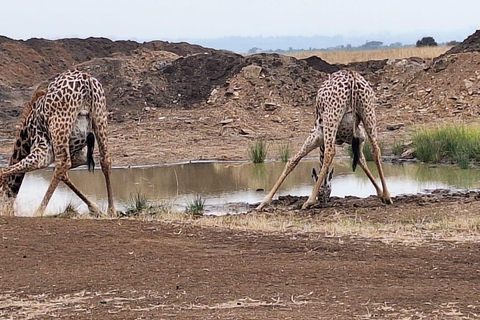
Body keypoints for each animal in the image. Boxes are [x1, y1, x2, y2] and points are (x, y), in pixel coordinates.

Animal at [0, 69, 115, 216]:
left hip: (59, 126)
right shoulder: (80, 155)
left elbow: (3, 171)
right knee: (105, 159)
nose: (7, 212)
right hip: (100, 115)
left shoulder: (43, 149)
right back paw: (112, 210)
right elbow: (64, 175)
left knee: (62, 163)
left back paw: (38, 212)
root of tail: (86, 80)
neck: (25, 137)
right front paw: (96, 209)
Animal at [256, 70, 392, 210]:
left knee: (330, 152)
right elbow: (361, 159)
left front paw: (264, 202)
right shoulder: (358, 137)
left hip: (331, 116)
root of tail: (351, 76)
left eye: (325, 191)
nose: (324, 202)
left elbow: (293, 160)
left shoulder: (318, 135)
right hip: (368, 111)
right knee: (376, 150)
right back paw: (388, 196)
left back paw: (309, 201)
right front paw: (381, 193)